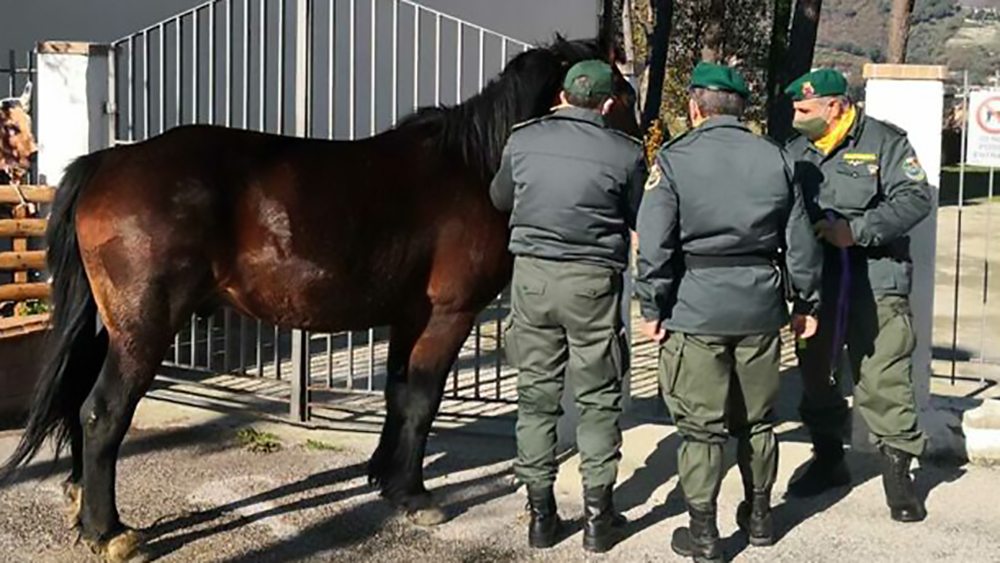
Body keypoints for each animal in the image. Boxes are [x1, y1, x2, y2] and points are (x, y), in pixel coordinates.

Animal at [0, 37, 639, 561]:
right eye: (622, 92)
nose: (641, 152)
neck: (473, 167)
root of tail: (109, 159)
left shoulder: (409, 317)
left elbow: (399, 397)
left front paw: (385, 479)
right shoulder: (447, 316)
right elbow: (423, 401)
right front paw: (415, 495)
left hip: (110, 326)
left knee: (81, 402)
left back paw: (81, 504)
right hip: (144, 328)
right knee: (103, 412)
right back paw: (109, 531)